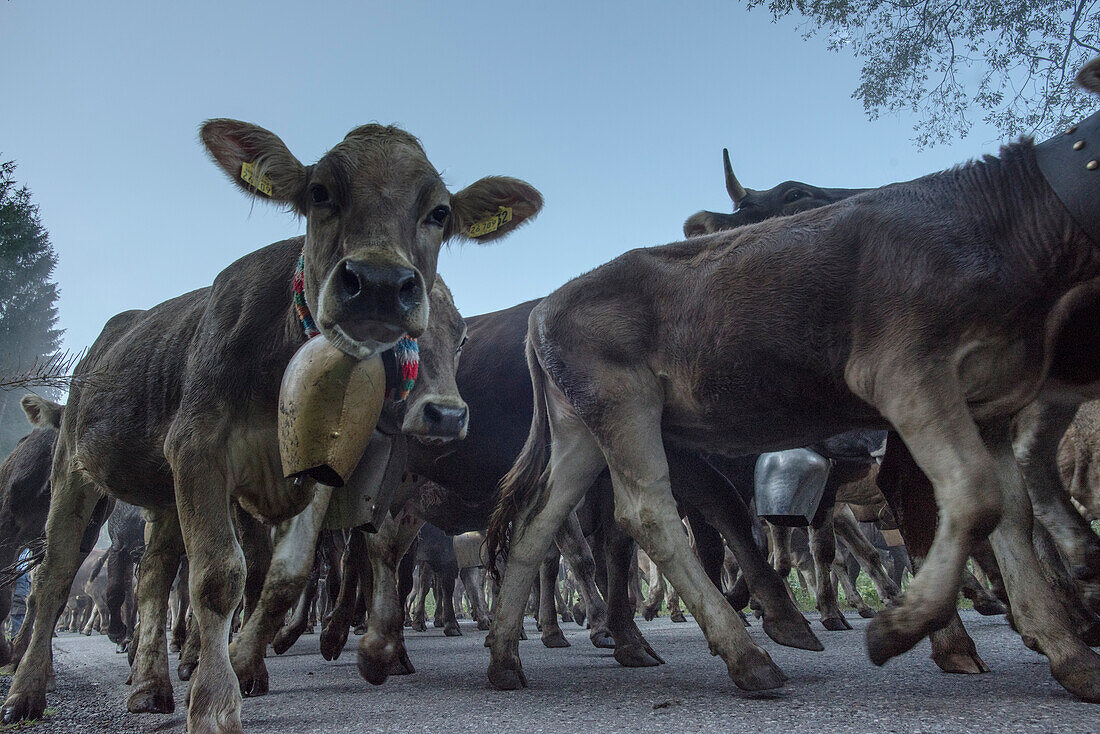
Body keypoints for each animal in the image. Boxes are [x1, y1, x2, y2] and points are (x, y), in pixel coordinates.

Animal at [0, 117, 541, 730]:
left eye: (439, 211)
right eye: (320, 192)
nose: (379, 283)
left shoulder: (316, 479)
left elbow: (283, 578)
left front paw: (243, 662)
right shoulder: (200, 452)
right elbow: (220, 577)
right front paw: (215, 700)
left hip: (162, 498)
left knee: (152, 577)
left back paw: (149, 683)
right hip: (76, 469)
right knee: (54, 576)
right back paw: (27, 688)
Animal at [486, 110, 1100, 699]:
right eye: (797, 194)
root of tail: (544, 309)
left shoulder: (987, 407)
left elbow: (1012, 516)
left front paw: (1068, 653)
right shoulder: (907, 375)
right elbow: (974, 498)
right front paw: (902, 628)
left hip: (582, 427)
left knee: (538, 522)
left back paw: (505, 656)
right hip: (625, 407)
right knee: (647, 517)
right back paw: (747, 656)